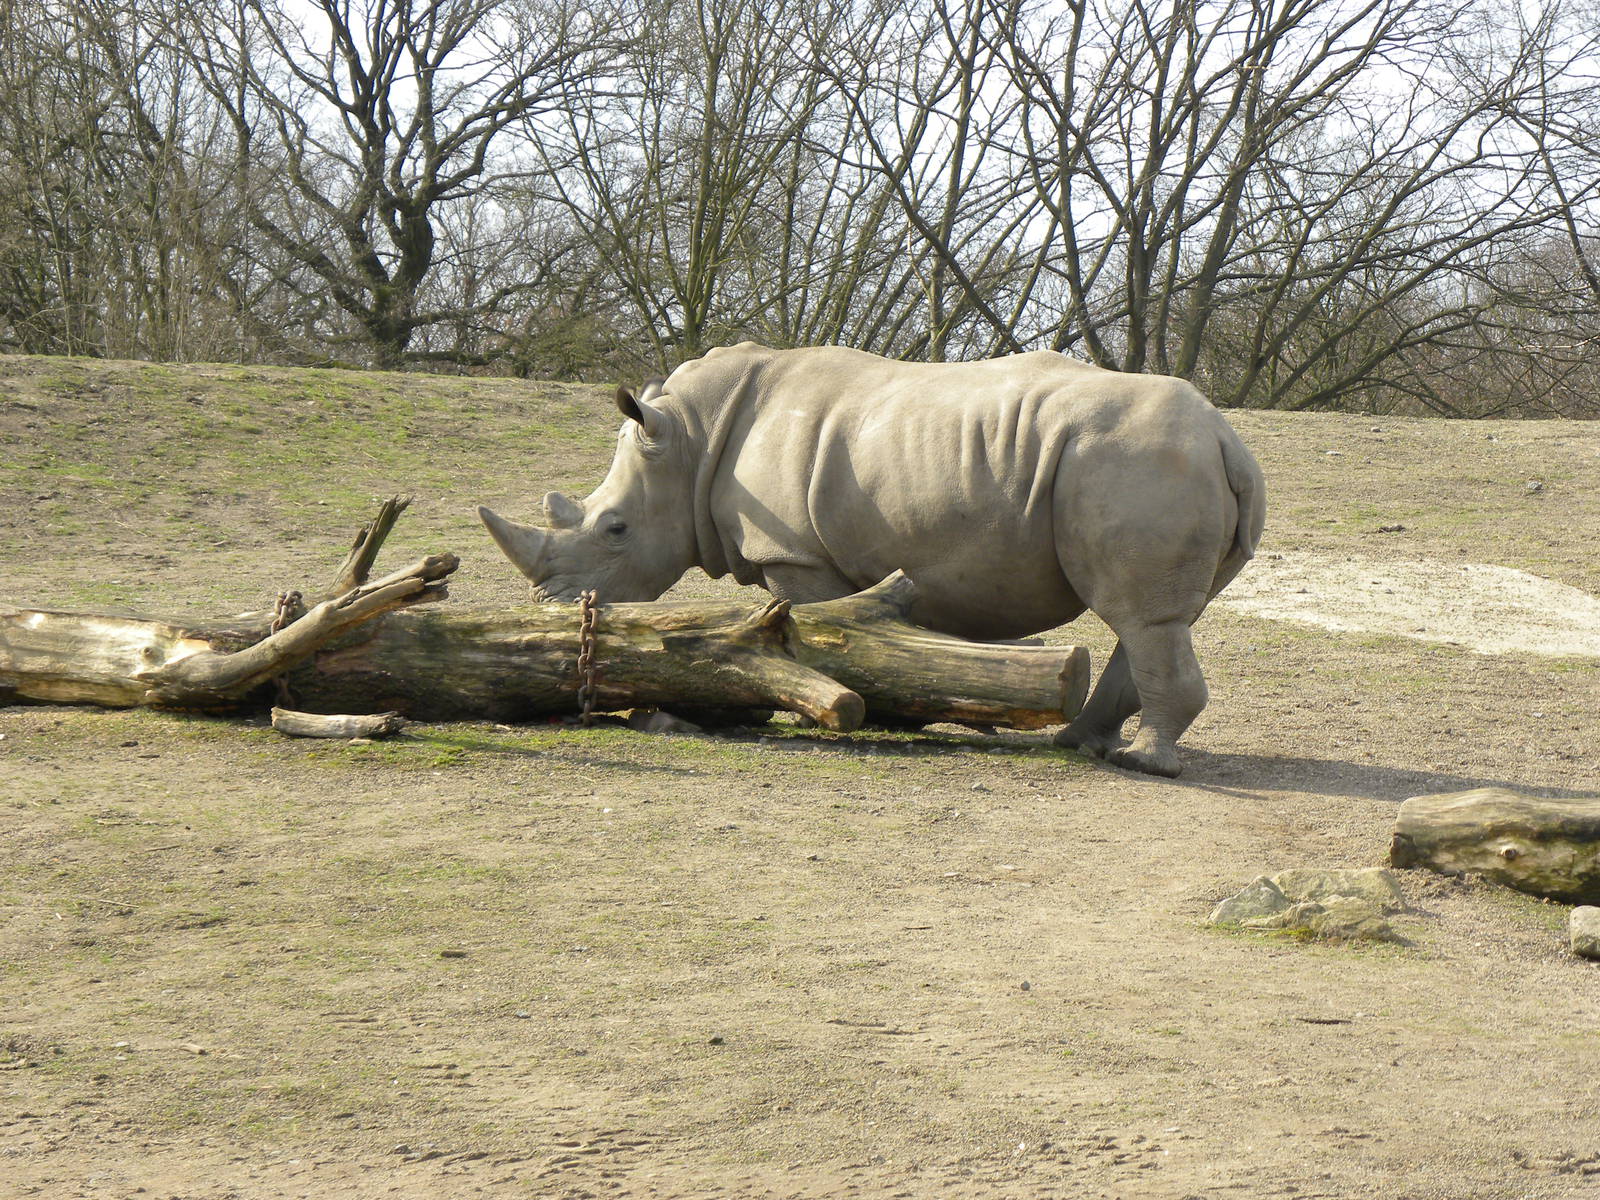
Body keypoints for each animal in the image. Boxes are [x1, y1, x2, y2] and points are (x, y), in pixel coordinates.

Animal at [479, 343, 1265, 777]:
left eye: (614, 529)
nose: (550, 610)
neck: (690, 443)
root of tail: (1227, 439)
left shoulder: (795, 555)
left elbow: (808, 627)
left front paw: (820, 708)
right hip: (1153, 463)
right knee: (1156, 619)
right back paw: (1080, 744)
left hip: (1136, 463)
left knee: (1142, 617)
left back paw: (1141, 764)